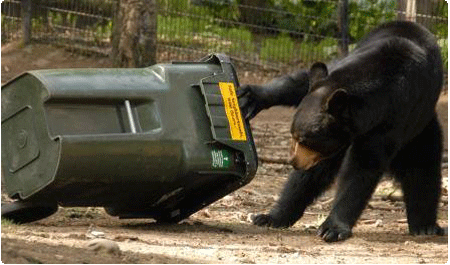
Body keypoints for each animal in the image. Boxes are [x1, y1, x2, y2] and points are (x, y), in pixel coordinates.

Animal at [239, 21, 446, 241]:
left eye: (305, 140)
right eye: (294, 136)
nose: (293, 161)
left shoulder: (393, 119)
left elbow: (362, 167)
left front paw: (332, 228)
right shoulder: (333, 77)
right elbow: (302, 82)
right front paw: (251, 96)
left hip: (419, 128)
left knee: (422, 168)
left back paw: (425, 226)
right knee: (308, 178)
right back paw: (272, 217)